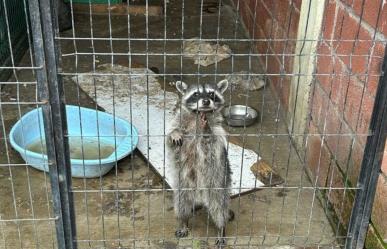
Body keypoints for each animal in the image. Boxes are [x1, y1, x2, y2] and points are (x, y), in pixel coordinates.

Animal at [167, 79, 233, 246]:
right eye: (196, 94)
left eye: (211, 94)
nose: (206, 101)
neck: (198, 116)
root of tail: (200, 195)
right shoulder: (178, 123)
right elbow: (170, 139)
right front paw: (174, 134)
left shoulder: (218, 134)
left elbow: (210, 144)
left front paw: (205, 129)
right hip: (183, 184)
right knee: (182, 203)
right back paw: (184, 221)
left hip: (218, 182)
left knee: (219, 208)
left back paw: (220, 229)